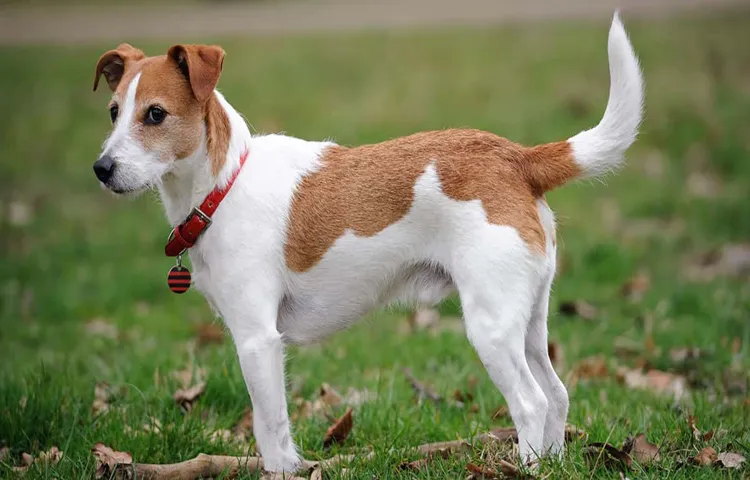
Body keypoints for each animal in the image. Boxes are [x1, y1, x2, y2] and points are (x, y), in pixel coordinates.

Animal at [92, 11, 648, 472]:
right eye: (114, 111)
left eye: (156, 114)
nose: (101, 168)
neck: (224, 182)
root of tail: (514, 157)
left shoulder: (257, 340)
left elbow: (271, 433)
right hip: (527, 319)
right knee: (557, 395)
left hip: (490, 326)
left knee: (531, 403)